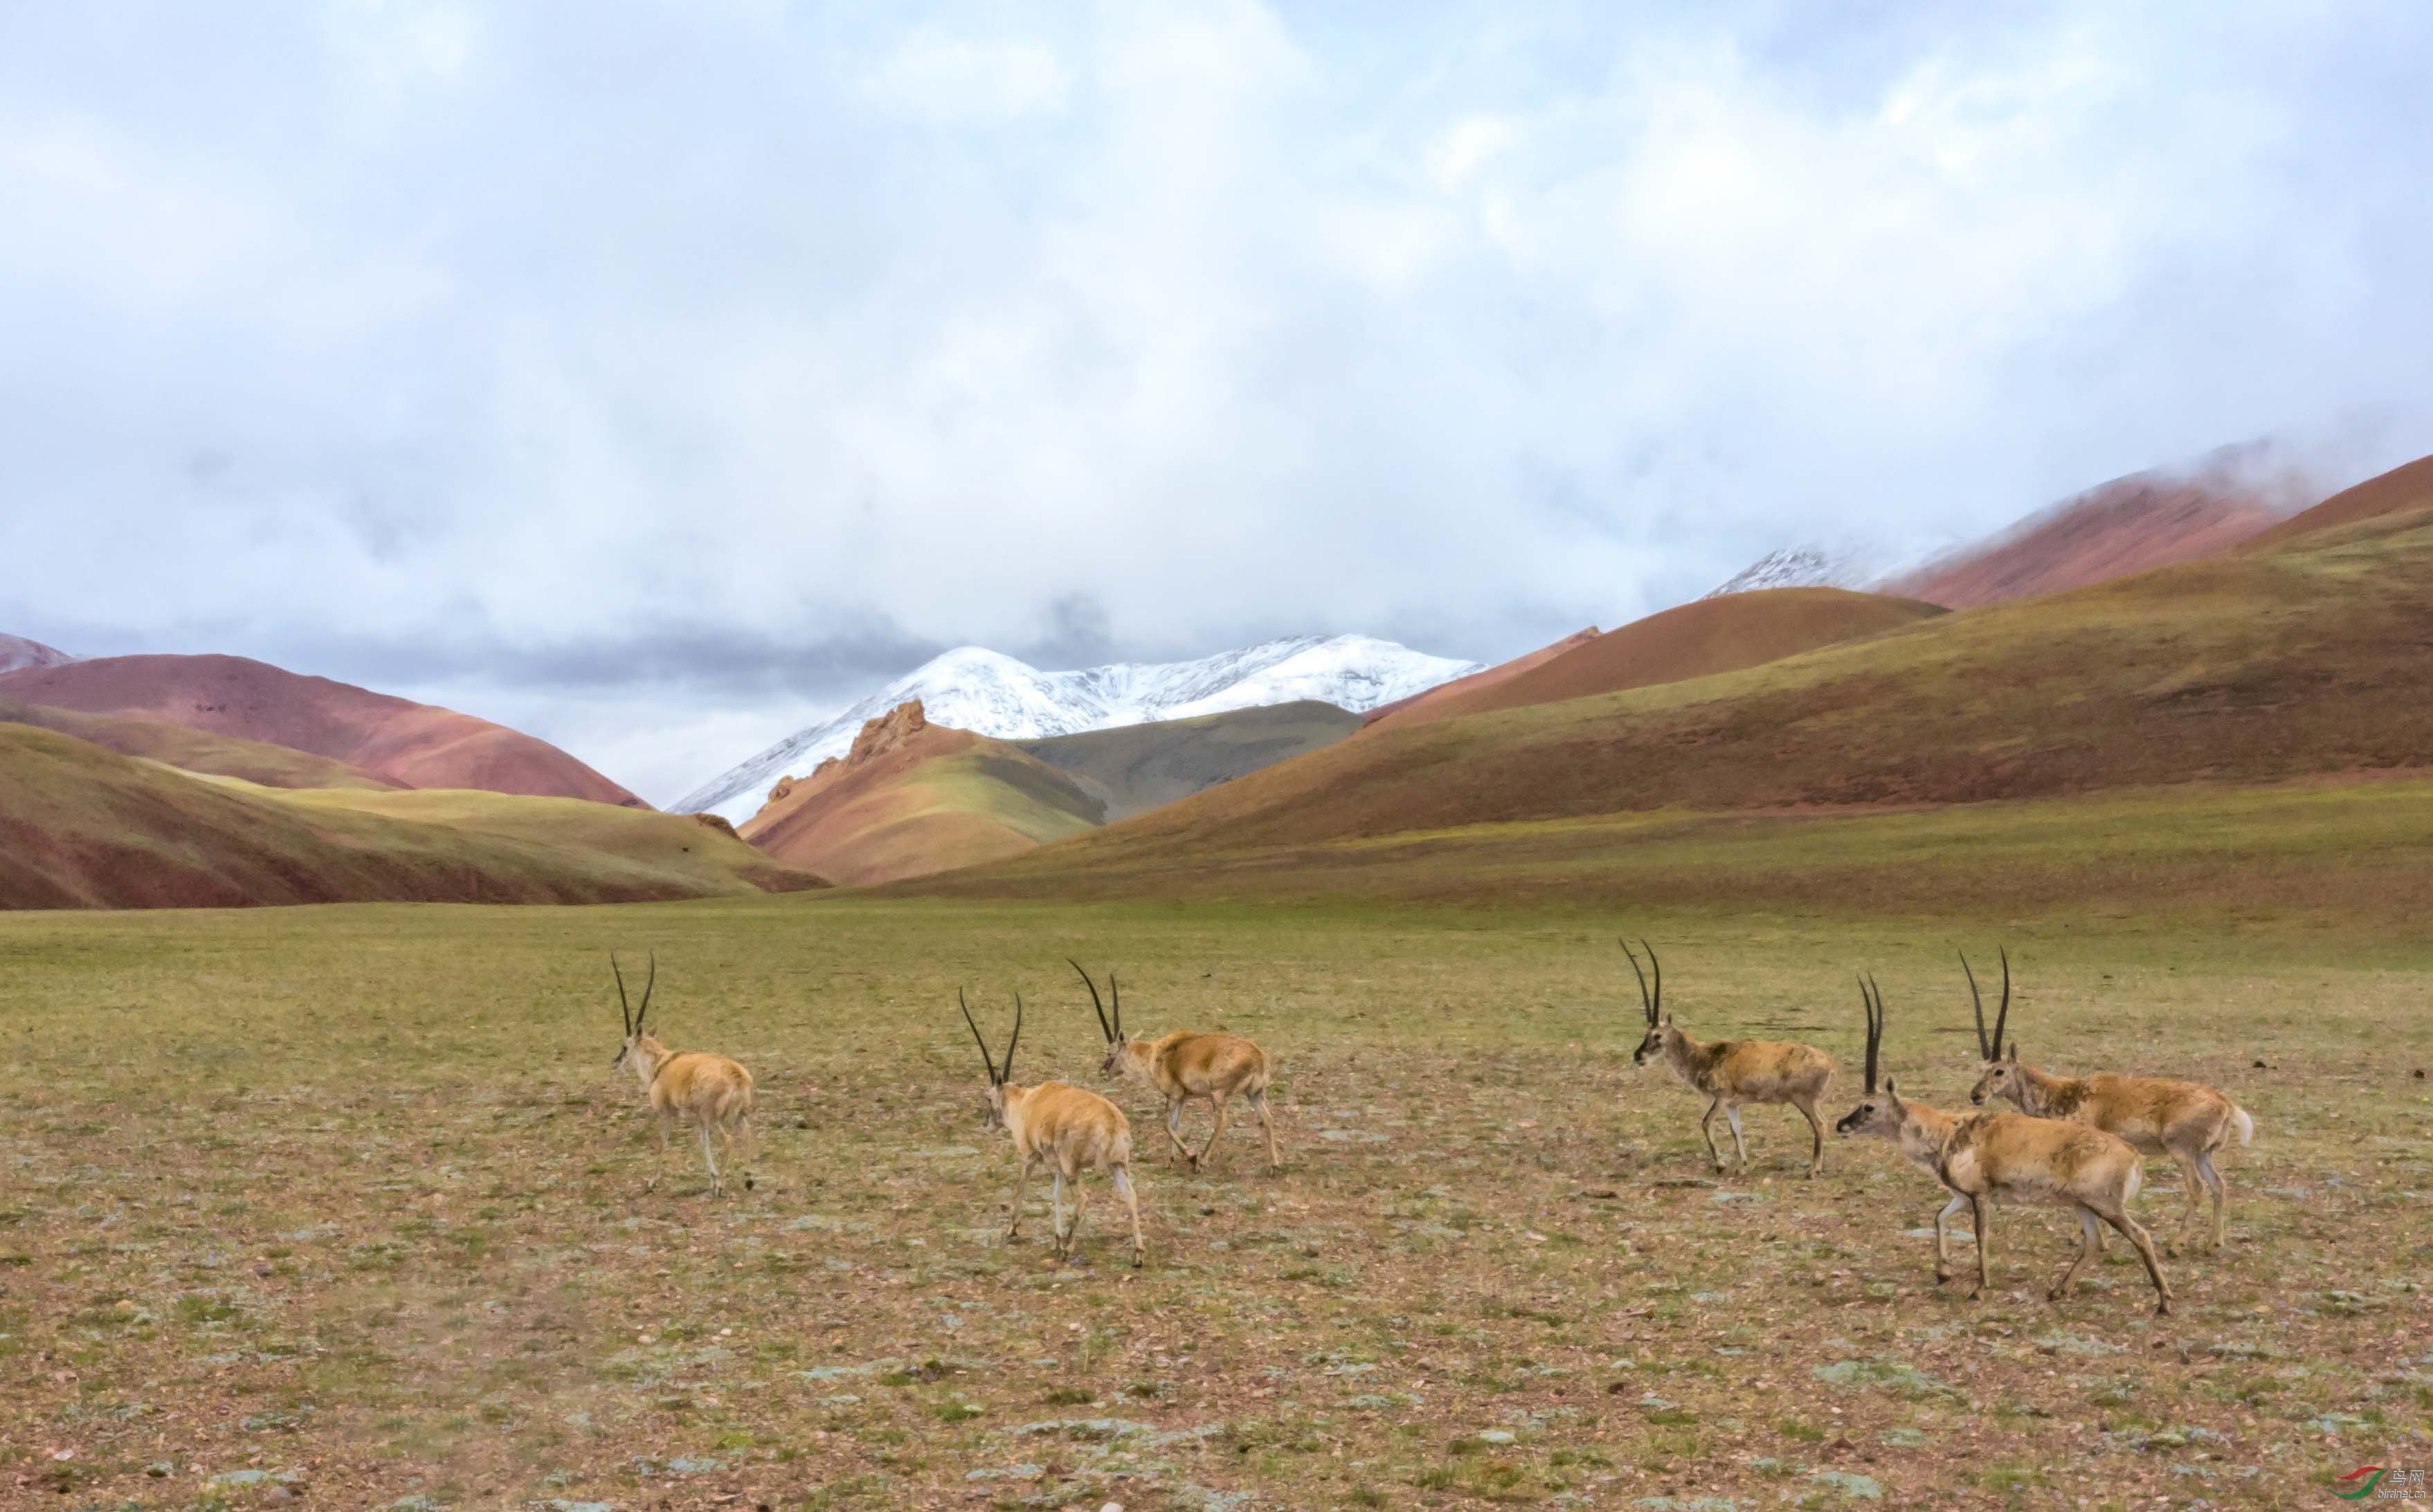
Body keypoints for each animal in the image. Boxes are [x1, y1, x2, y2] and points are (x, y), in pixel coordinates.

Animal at [613, 958, 754, 1196]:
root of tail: (737, 1076)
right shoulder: (699, 1121)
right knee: (746, 1133)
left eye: (625, 1047)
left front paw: (652, 1181)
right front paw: (712, 1178)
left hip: (713, 1118)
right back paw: (749, 1180)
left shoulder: (666, 1114)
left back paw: (722, 1186)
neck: (661, 1064)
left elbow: (663, 1142)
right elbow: (703, 1143)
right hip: (737, 1116)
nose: (615, 1064)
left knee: (727, 1141)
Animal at [953, 992, 1143, 1273]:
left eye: (988, 1098)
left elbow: (1021, 1187)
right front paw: (1056, 1238)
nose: (987, 1123)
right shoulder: (1056, 1166)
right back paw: (1138, 1255)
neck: (1026, 1101)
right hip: (1117, 1165)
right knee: (1131, 1196)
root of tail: (1111, 1122)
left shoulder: (1030, 1157)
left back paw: (1068, 1250)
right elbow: (1056, 1195)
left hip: (1074, 1166)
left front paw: (1012, 1230)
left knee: (1083, 1198)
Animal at [1075, 967, 1284, 1181]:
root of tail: (1259, 1057)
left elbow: (1165, 1123)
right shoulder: (1184, 1097)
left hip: (1218, 1094)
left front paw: (1191, 1157)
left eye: (1111, 1053)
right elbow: (1175, 1125)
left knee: (1223, 1121)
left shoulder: (1173, 1095)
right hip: (1255, 1094)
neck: (1156, 1055)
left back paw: (1202, 1162)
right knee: (1268, 1119)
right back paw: (1274, 1166)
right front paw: (1170, 1161)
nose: (1103, 1072)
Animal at [1625, 938, 1829, 1186]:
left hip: (1804, 1100)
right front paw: (1742, 1166)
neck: (1706, 1055)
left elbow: (1705, 1123)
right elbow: (1736, 1130)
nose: (1638, 1056)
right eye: (1646, 1033)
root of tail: (1829, 1063)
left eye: (1657, 1035)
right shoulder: (1733, 1104)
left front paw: (1721, 1165)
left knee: (1819, 1125)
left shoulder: (1721, 1098)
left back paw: (1813, 1171)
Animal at [1966, 948, 2247, 1254]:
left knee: (2197, 1188)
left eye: (1999, 1071)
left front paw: (2089, 1237)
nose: (1976, 1095)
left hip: (2182, 1151)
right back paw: (2214, 1243)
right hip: (2203, 1154)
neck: (2064, 1093)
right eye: (1981, 1069)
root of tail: (2225, 1103)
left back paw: (2177, 1244)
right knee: (2219, 1185)